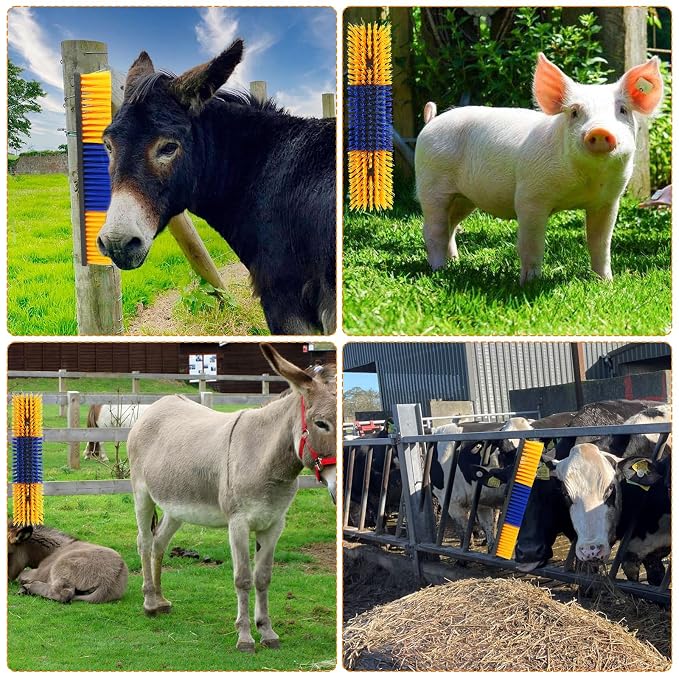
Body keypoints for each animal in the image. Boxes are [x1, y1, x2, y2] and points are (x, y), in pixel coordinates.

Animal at [127, 344, 336, 651]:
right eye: (321, 424)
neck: (264, 459)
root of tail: (158, 404)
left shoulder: (274, 524)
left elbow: (263, 577)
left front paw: (267, 632)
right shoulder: (238, 524)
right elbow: (243, 579)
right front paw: (245, 637)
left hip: (176, 507)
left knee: (158, 542)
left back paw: (161, 600)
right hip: (142, 494)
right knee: (143, 541)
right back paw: (150, 602)